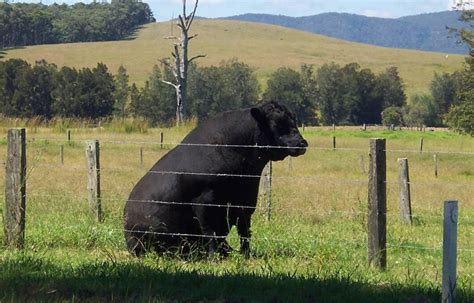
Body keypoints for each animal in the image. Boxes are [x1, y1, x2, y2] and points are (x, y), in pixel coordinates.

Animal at [123, 101, 308, 256]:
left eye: (293, 121)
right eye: (277, 124)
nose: (302, 143)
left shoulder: (245, 201)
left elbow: (245, 231)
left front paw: (246, 255)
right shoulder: (205, 202)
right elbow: (210, 231)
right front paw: (214, 257)